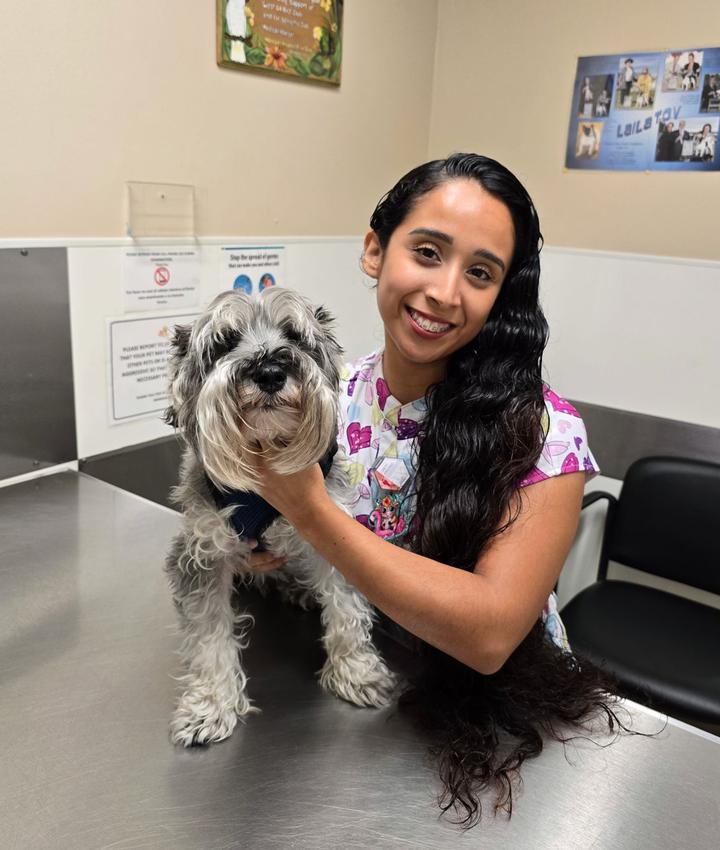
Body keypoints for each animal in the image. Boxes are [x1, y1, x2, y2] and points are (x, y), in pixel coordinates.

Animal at [165, 288, 394, 744]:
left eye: (294, 335)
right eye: (224, 342)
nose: (270, 372)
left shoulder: (335, 536)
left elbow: (347, 609)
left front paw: (356, 672)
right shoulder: (201, 555)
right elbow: (208, 636)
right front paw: (210, 706)